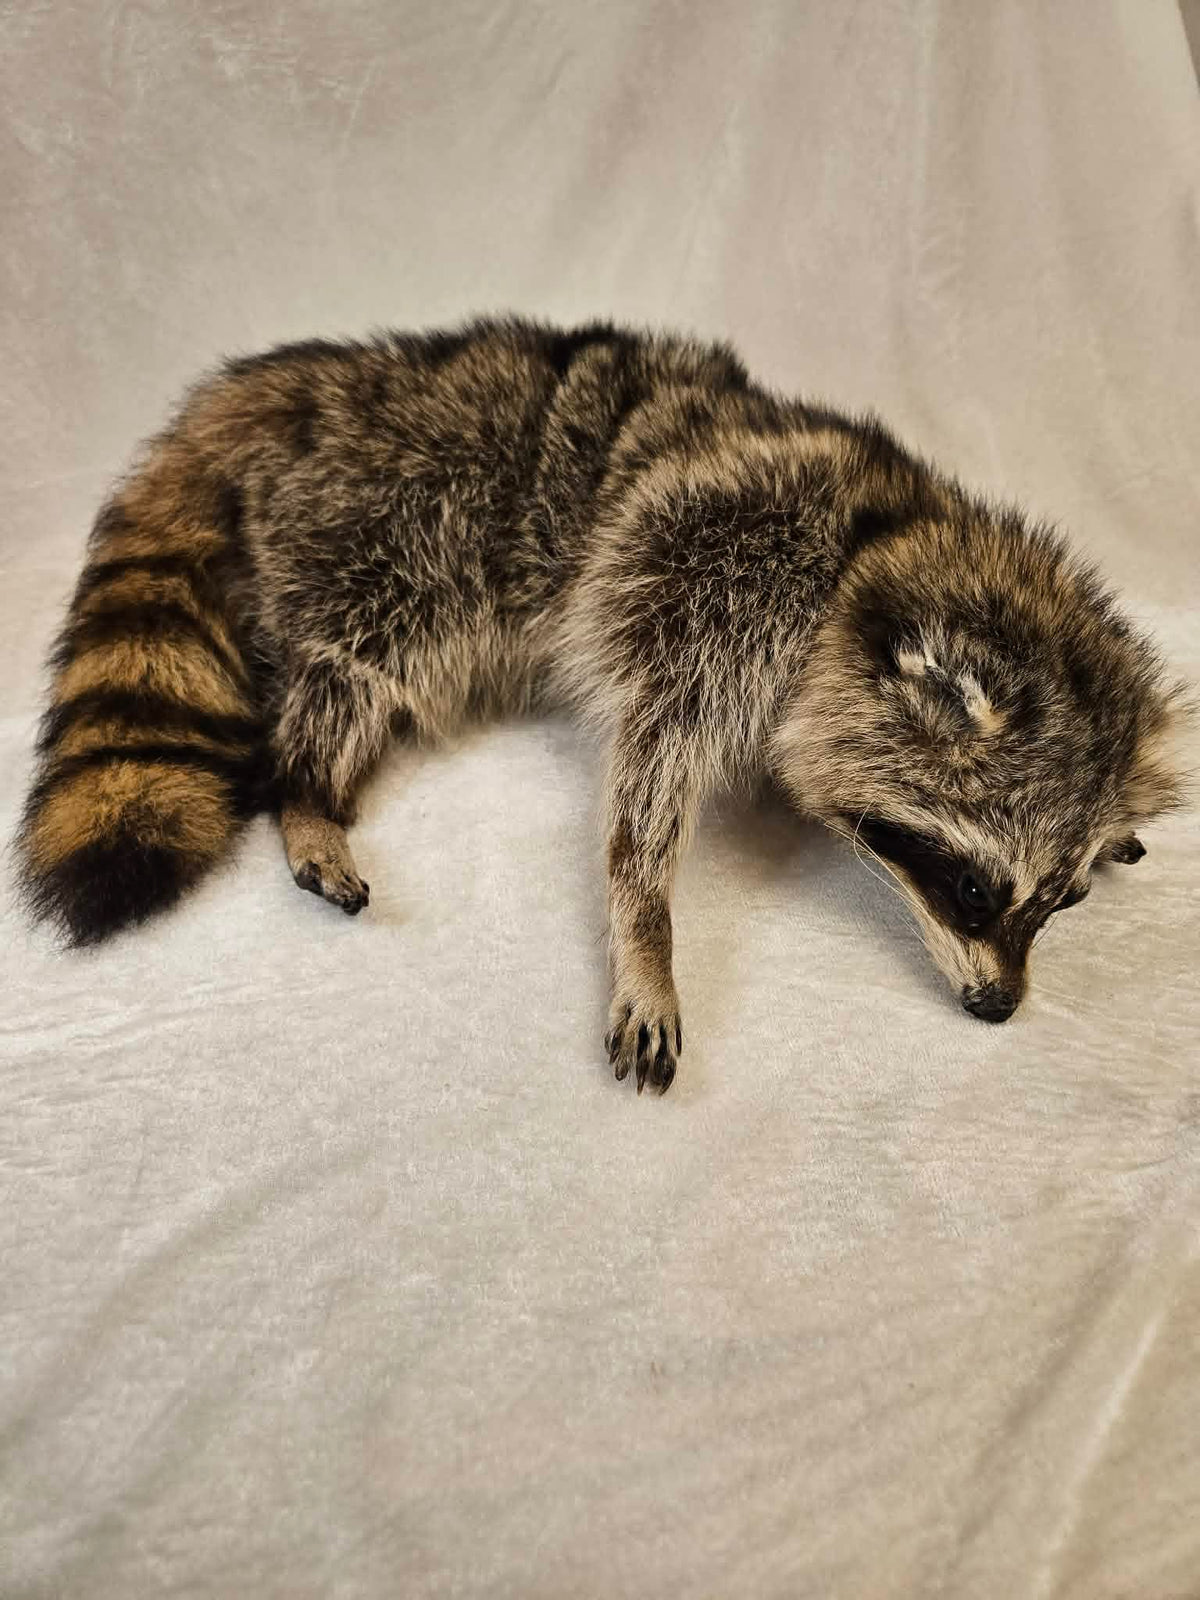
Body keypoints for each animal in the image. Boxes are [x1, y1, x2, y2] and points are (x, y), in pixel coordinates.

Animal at [15, 317, 1187, 1092]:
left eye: (1057, 906)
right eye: (976, 891)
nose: (1000, 1008)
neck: (880, 548)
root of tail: (293, 385)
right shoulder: (715, 577)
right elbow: (643, 792)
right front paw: (647, 937)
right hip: (391, 518)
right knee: (362, 656)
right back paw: (309, 790)